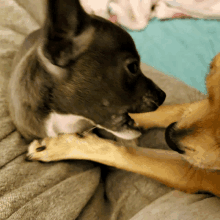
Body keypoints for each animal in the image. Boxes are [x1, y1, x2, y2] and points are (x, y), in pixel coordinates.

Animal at [27, 52, 220, 197]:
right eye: (208, 87)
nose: (169, 137)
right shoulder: (195, 108)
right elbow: (171, 111)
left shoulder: (199, 172)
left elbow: (128, 153)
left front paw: (62, 145)